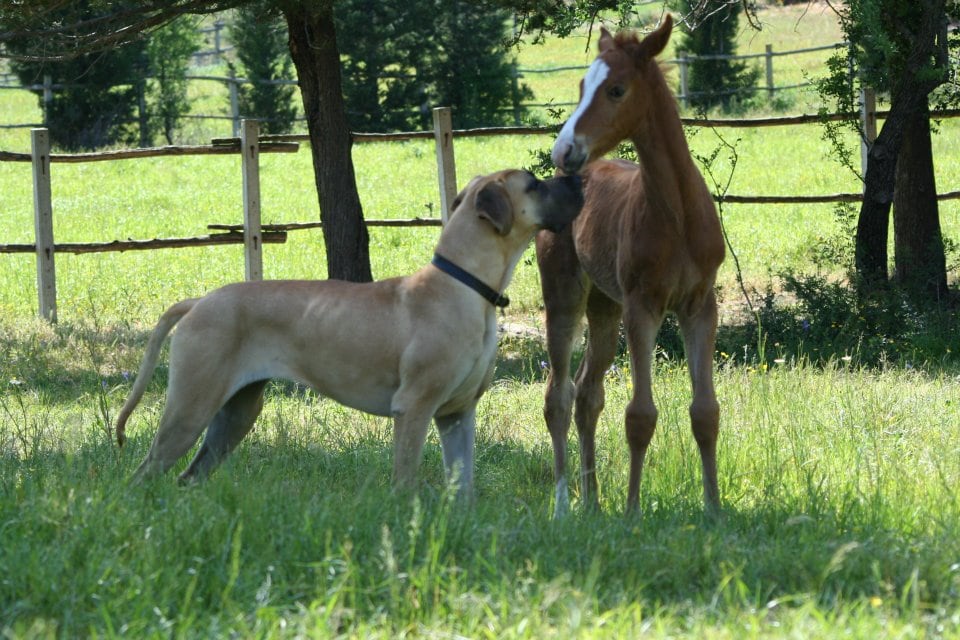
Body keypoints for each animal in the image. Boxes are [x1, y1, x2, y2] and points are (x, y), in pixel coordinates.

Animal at [118, 171, 584, 500]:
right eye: (534, 183)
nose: (577, 178)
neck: (465, 284)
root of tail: (200, 301)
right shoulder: (413, 409)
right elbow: (404, 481)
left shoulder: (457, 414)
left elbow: (463, 485)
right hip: (190, 407)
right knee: (144, 473)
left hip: (234, 415)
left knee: (188, 475)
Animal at [536, 12, 724, 516]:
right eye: (582, 84)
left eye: (616, 89)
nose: (564, 150)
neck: (677, 215)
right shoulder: (644, 306)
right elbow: (640, 414)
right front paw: (633, 511)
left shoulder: (700, 305)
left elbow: (706, 411)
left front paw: (714, 509)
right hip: (564, 297)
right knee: (559, 396)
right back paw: (563, 504)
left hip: (605, 306)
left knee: (588, 394)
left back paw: (593, 503)